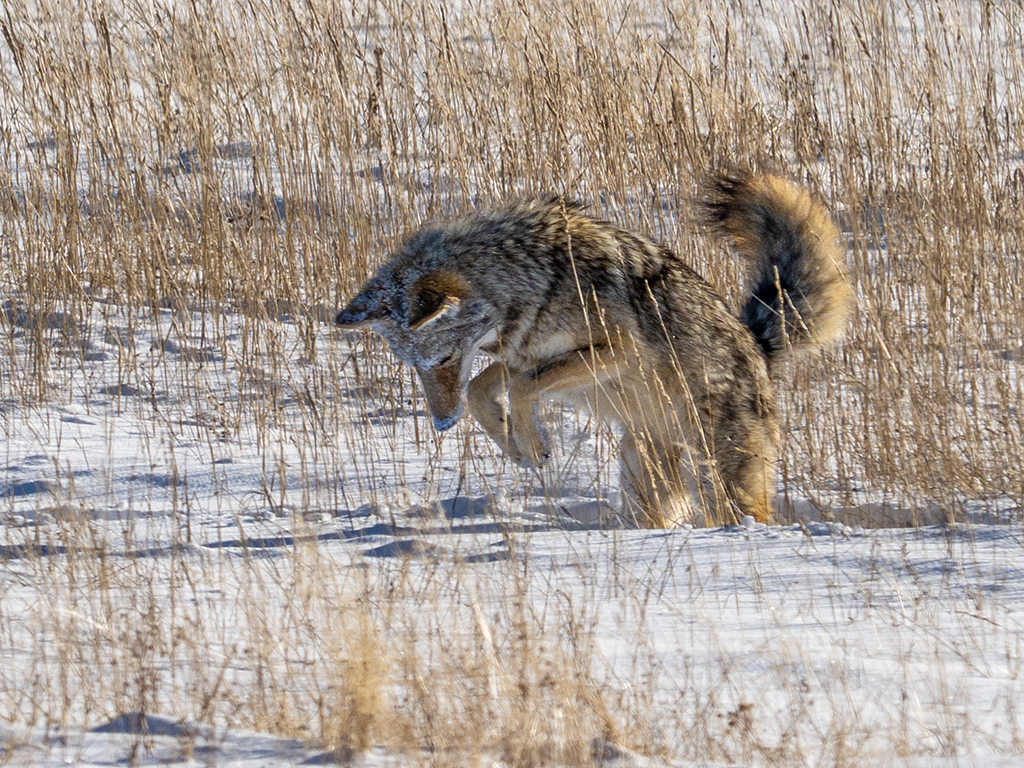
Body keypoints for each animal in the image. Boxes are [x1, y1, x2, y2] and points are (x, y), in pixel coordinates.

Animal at [335, 172, 851, 527]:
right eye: (416, 368)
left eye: (441, 361)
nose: (442, 423)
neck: (538, 280)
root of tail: (758, 349)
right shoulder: (522, 354)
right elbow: (486, 389)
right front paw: (516, 446)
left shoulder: (613, 351)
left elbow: (521, 390)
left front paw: (536, 445)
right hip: (643, 477)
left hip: (721, 479)